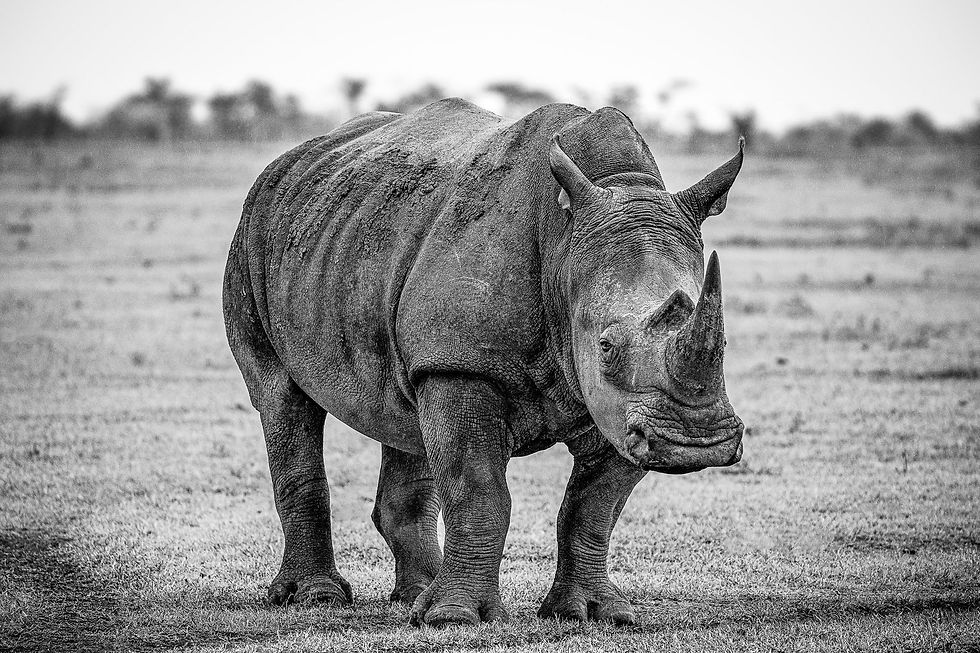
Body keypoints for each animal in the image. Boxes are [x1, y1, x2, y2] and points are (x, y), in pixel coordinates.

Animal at [223, 98, 745, 627]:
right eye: (606, 347)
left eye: (725, 343)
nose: (696, 442)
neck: (566, 246)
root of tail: (289, 162)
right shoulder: (461, 365)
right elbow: (479, 491)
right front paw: (454, 618)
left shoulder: (622, 410)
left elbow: (594, 505)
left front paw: (596, 613)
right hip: (252, 240)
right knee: (281, 395)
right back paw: (318, 597)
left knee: (405, 410)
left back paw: (415, 596)